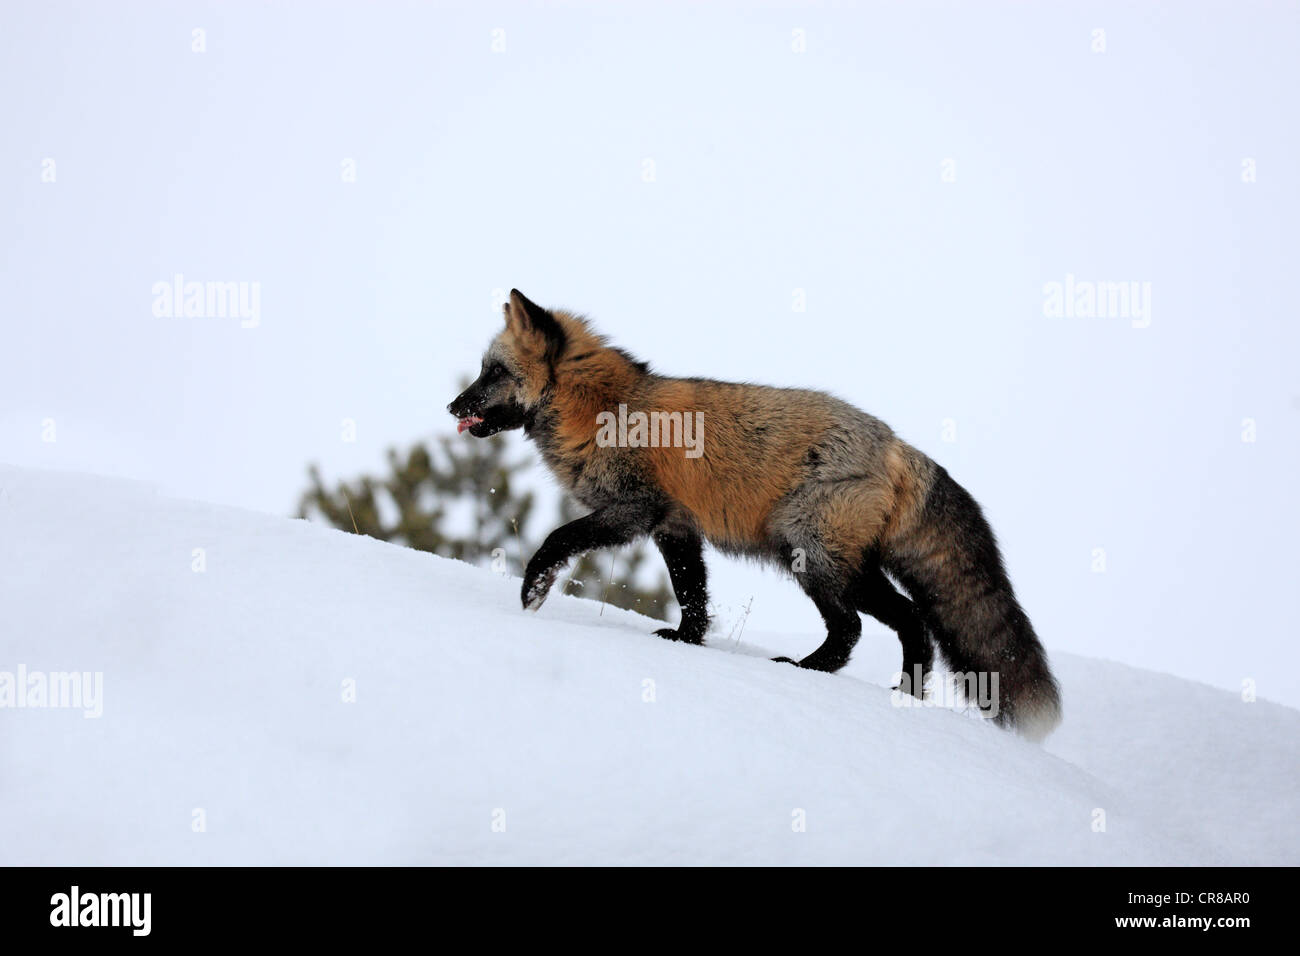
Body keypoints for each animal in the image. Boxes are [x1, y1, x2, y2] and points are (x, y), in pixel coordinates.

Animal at [448, 290, 1062, 741]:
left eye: (492, 373)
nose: (452, 405)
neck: (603, 409)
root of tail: (895, 444)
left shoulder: (634, 510)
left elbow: (556, 540)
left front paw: (532, 592)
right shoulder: (675, 526)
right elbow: (693, 595)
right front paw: (685, 644)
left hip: (813, 557)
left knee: (872, 624)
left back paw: (824, 674)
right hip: (833, 563)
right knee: (894, 623)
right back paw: (895, 693)